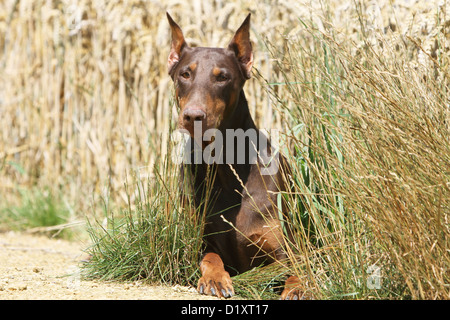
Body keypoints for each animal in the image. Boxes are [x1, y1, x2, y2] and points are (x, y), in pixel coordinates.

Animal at [167, 11, 300, 298]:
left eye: (222, 77)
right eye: (185, 74)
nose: (192, 116)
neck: (225, 167)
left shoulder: (284, 249)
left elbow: (296, 267)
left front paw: (299, 287)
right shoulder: (201, 239)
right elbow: (210, 258)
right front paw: (216, 279)